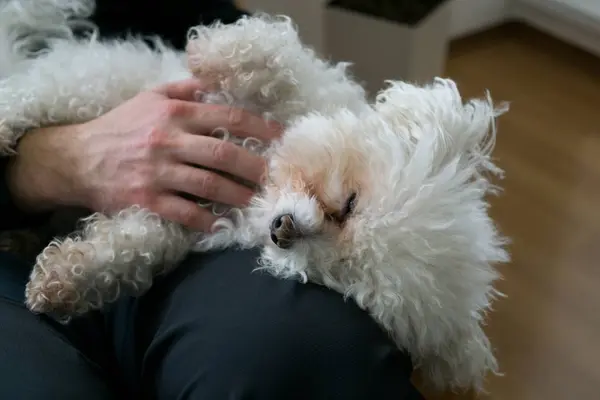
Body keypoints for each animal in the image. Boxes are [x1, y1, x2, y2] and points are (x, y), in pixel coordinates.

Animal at [0, 0, 510, 394]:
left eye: (347, 276)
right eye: (350, 204)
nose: (284, 230)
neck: (257, 190)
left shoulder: (184, 218)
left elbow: (129, 247)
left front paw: (64, 280)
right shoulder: (280, 90)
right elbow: (275, 55)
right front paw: (210, 50)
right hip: (93, 81)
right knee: (32, 95)